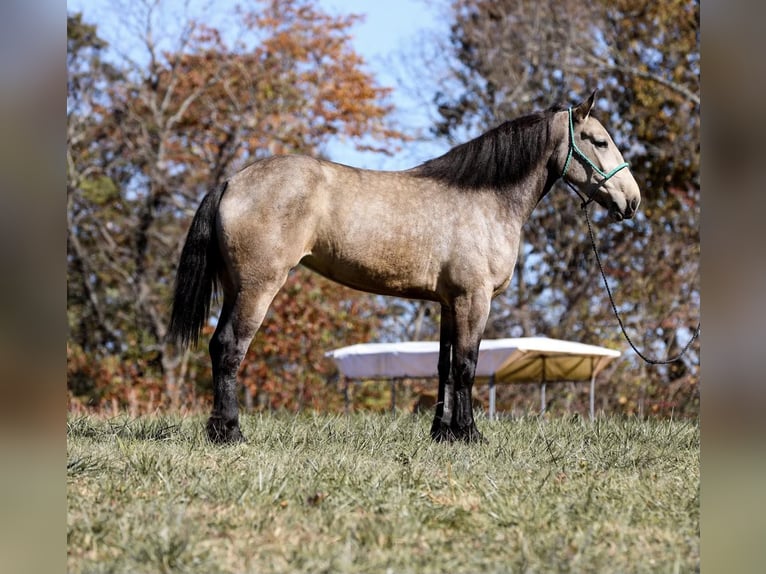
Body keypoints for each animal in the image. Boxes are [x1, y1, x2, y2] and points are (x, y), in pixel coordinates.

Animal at [168, 92, 640, 448]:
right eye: (598, 141)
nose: (632, 201)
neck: (486, 200)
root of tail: (231, 182)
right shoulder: (473, 299)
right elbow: (467, 365)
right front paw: (470, 434)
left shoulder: (449, 303)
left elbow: (444, 367)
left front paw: (443, 434)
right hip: (257, 288)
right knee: (230, 348)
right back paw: (230, 433)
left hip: (236, 288)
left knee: (217, 346)